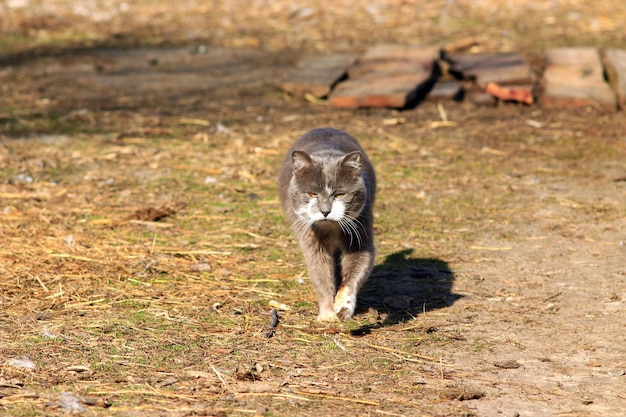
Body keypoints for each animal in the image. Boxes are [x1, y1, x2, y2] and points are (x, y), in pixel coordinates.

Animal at [278, 127, 376, 322]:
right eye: (312, 193)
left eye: (340, 194)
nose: (325, 211)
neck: (331, 228)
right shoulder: (312, 240)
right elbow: (320, 274)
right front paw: (327, 315)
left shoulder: (360, 232)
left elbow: (355, 272)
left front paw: (343, 307)